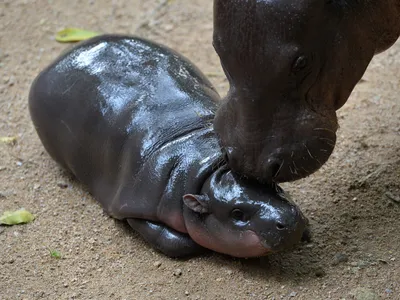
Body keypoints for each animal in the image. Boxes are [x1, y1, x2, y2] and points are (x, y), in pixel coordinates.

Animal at [29, 34, 308, 258]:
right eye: (237, 214)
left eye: (273, 186)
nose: (287, 220)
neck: (206, 166)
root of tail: (60, 59)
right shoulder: (134, 206)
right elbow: (173, 241)